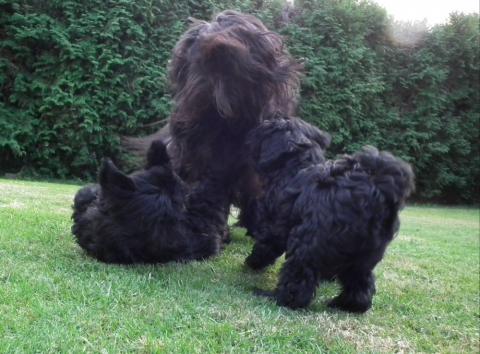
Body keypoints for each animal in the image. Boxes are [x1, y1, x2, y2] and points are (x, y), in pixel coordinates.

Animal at [246, 117, 414, 312]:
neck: (293, 167)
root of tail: (376, 188)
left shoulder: (275, 225)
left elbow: (265, 245)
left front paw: (252, 262)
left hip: (307, 243)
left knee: (299, 280)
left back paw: (275, 297)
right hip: (365, 256)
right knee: (362, 284)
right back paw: (347, 304)